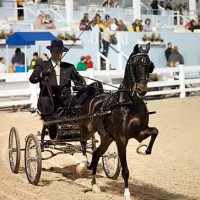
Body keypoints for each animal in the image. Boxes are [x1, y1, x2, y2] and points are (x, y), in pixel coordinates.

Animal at [77, 43, 159, 199]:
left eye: (149, 65)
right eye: (135, 64)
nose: (142, 90)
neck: (131, 102)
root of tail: (93, 96)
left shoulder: (139, 132)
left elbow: (155, 131)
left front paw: (143, 149)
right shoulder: (121, 139)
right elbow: (125, 169)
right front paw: (127, 193)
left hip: (106, 138)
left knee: (96, 154)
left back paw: (94, 185)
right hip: (87, 129)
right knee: (83, 142)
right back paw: (83, 164)